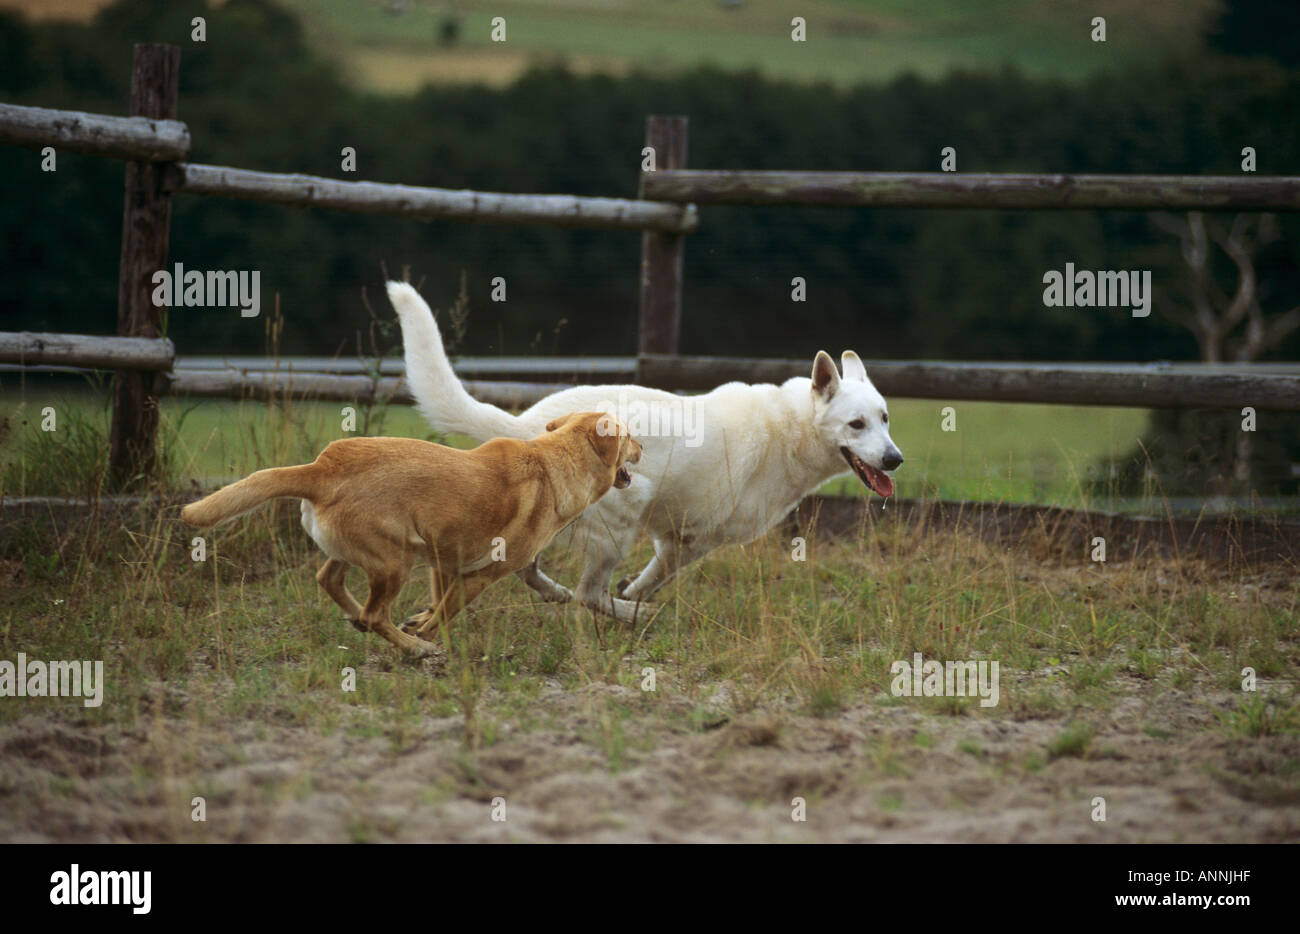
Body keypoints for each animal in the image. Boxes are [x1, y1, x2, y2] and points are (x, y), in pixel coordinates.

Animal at [182, 411, 639, 658]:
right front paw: (424, 638)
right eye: (631, 436)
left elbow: (437, 603)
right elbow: (446, 613)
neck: (553, 462)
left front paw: (419, 622)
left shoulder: (443, 557)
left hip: (364, 553)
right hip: (395, 562)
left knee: (330, 581)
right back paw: (412, 648)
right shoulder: (480, 574)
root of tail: (322, 466)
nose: (644, 448)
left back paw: (365, 623)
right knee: (373, 613)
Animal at [390, 282, 904, 624]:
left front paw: (631, 594)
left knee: (534, 572)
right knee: (589, 594)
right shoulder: (690, 541)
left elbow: (653, 575)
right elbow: (654, 578)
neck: (790, 429)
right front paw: (636, 598)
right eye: (856, 425)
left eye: (885, 419)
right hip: (621, 520)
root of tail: (528, 426)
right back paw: (631, 616)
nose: (895, 460)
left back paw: (556, 595)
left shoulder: (678, 539)